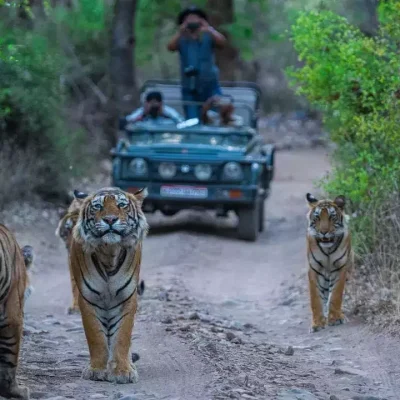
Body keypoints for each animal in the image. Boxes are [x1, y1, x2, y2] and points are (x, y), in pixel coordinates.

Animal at [69, 186, 149, 382]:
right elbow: (95, 336)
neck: (109, 253)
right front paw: (96, 369)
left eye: (121, 205)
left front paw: (122, 371)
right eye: (98, 206)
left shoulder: (127, 298)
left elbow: (122, 336)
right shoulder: (88, 299)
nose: (110, 219)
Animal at [304, 192, 352, 332]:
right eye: (317, 217)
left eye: (332, 217)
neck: (328, 249)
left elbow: (336, 294)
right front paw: (317, 324)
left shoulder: (340, 268)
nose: (324, 232)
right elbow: (315, 298)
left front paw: (335, 319)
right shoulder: (314, 269)